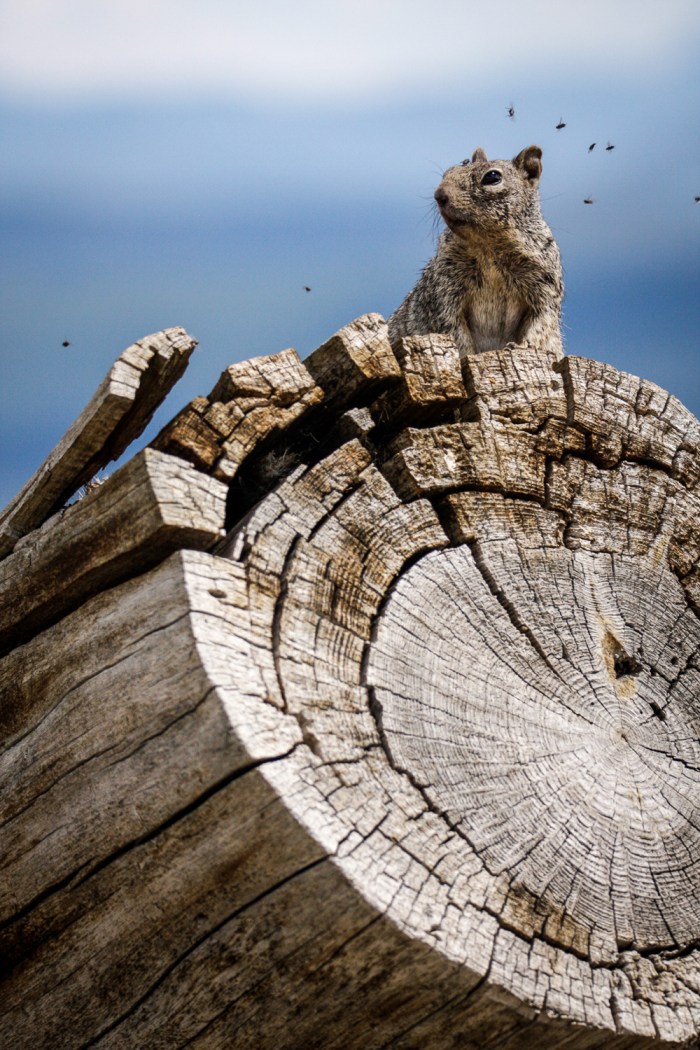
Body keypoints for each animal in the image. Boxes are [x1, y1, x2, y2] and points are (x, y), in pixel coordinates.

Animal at [388, 146, 564, 359]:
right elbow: (454, 329)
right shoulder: (445, 289)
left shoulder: (544, 286)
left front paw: (522, 347)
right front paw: (467, 355)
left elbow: (540, 323)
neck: (487, 246)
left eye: (493, 177)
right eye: (447, 173)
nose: (439, 194)